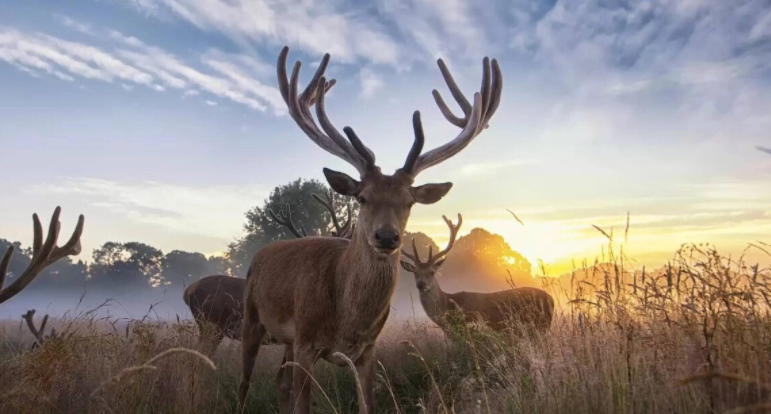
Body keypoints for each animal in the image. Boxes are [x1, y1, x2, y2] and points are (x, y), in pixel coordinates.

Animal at [240, 46, 506, 414]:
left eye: (409, 202)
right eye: (362, 197)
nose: (387, 236)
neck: (347, 321)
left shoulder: (367, 351)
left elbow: (367, 404)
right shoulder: (307, 341)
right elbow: (302, 404)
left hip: (287, 342)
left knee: (280, 383)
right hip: (251, 316)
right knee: (245, 384)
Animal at [398, 215, 556, 334]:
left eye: (432, 272)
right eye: (415, 273)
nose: (421, 285)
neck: (447, 306)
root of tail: (551, 299)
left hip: (540, 325)